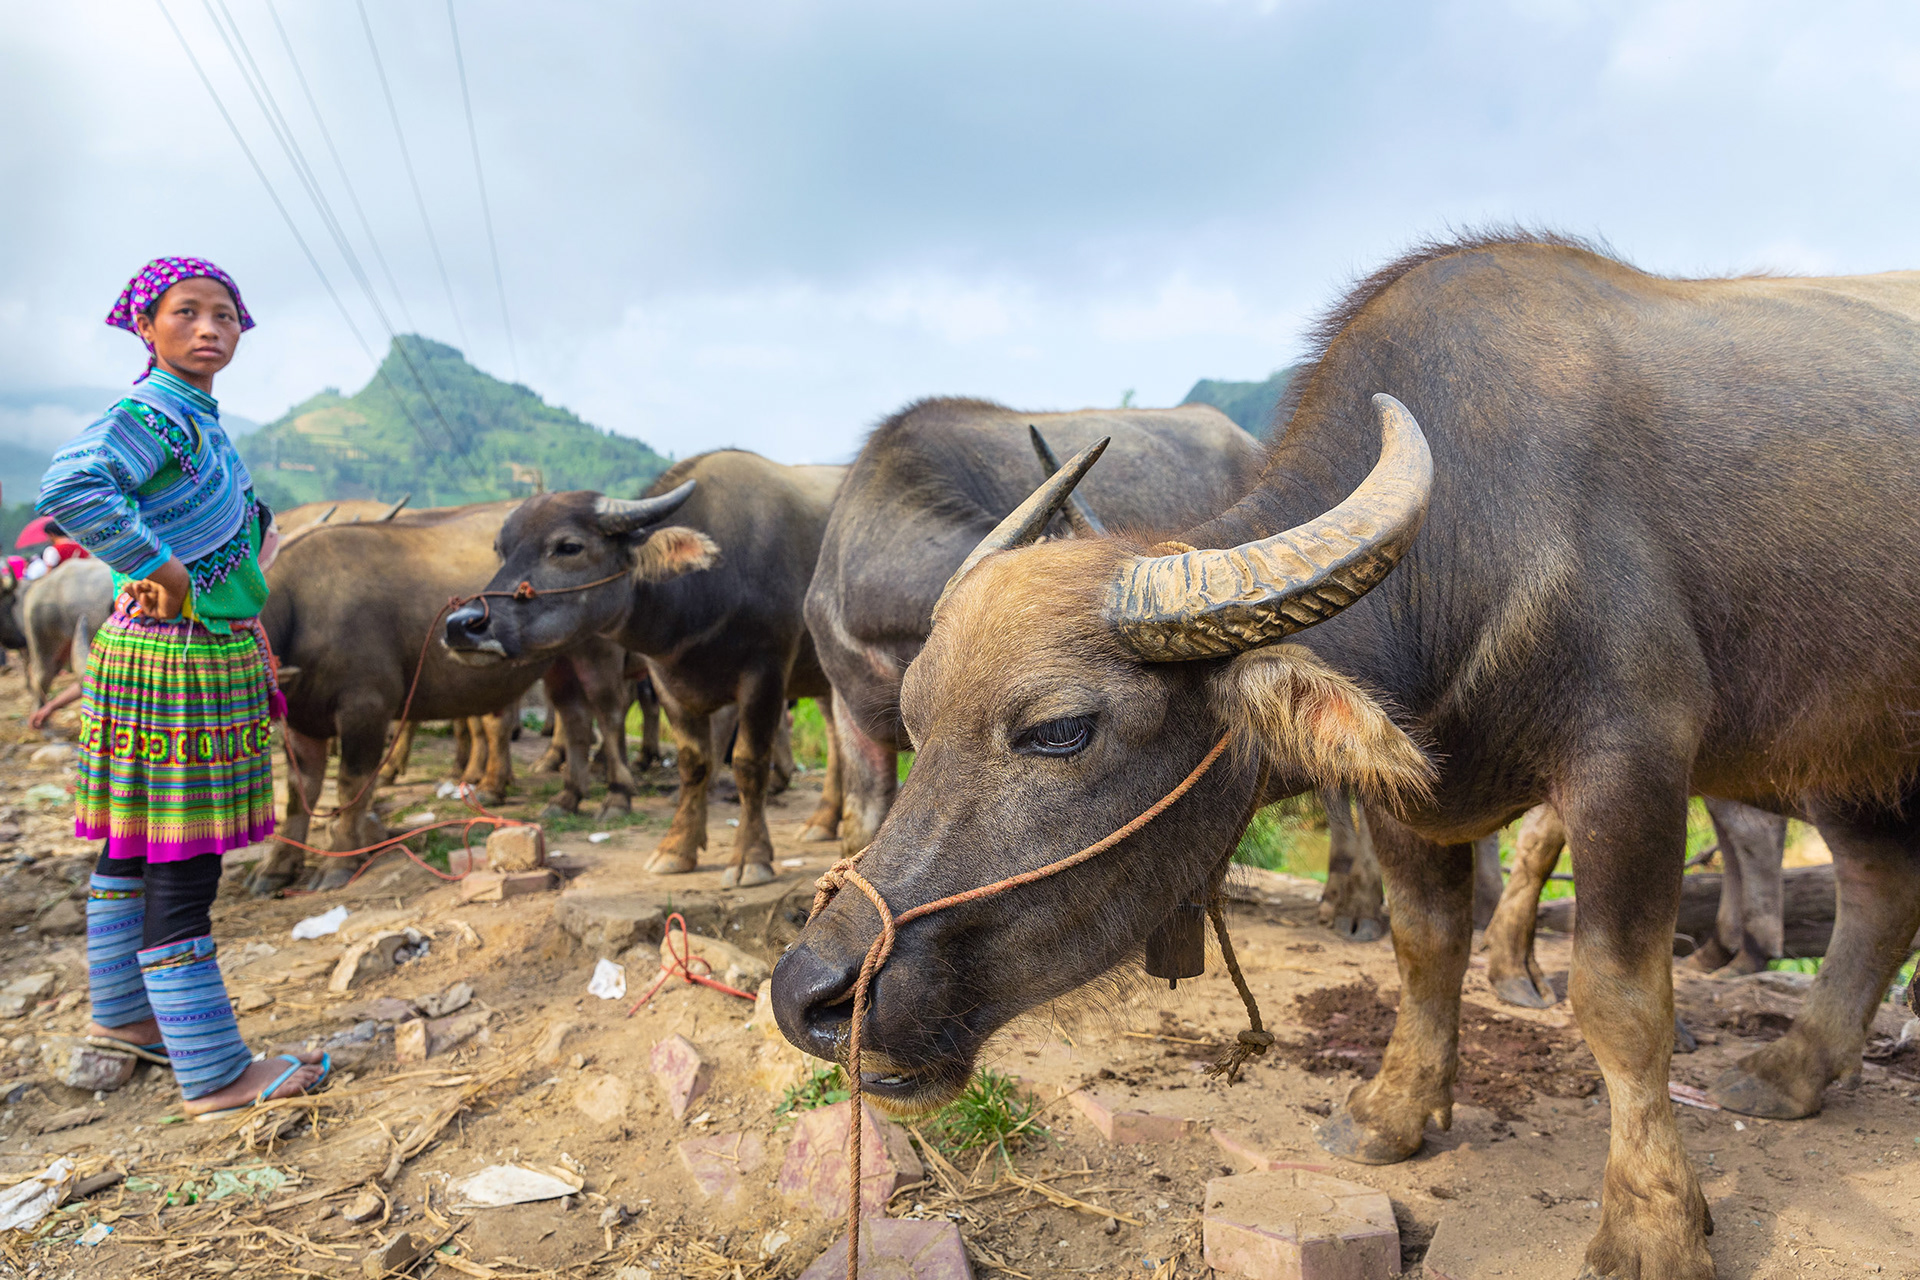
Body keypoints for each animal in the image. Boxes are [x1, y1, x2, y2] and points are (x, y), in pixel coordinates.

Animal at [442, 450, 846, 888]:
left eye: (569, 546)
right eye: (501, 550)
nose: (462, 624)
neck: (709, 587)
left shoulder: (765, 674)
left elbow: (748, 762)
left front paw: (750, 856)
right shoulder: (666, 680)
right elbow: (693, 762)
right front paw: (677, 847)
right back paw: (826, 819)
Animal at [774, 233, 1920, 1279]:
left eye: (1059, 728)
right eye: (915, 716)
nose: (810, 994)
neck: (1471, 541)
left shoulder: (1631, 762)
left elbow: (1620, 997)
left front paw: (1652, 1224)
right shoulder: (1405, 797)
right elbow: (1423, 945)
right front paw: (1393, 1113)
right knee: (1879, 887)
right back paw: (1791, 1070)